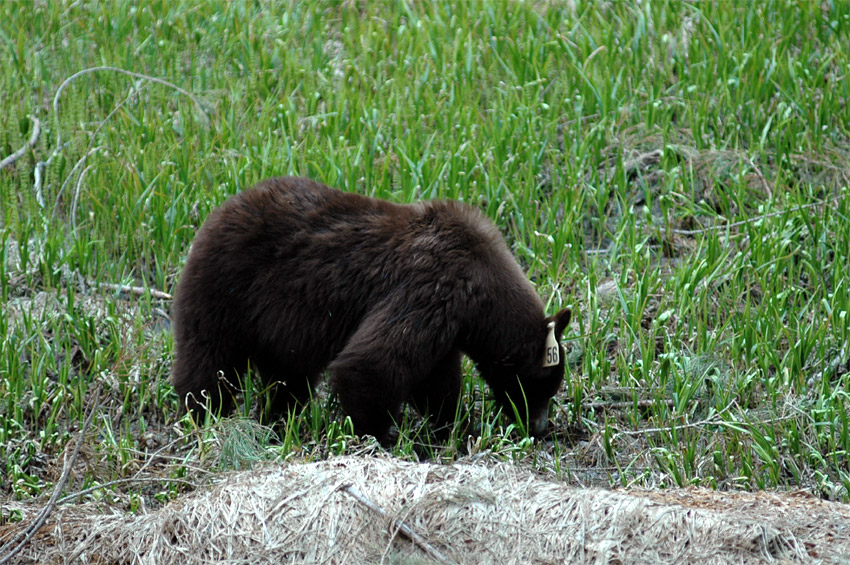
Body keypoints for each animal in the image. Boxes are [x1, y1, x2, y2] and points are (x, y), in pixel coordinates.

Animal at [171, 176, 568, 440]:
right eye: (545, 385)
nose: (540, 428)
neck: (484, 288)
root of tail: (220, 208)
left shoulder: (446, 323)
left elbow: (436, 379)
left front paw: (453, 426)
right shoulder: (432, 287)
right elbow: (370, 363)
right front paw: (383, 434)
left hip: (276, 324)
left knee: (289, 376)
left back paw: (281, 418)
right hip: (224, 289)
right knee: (209, 360)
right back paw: (203, 417)